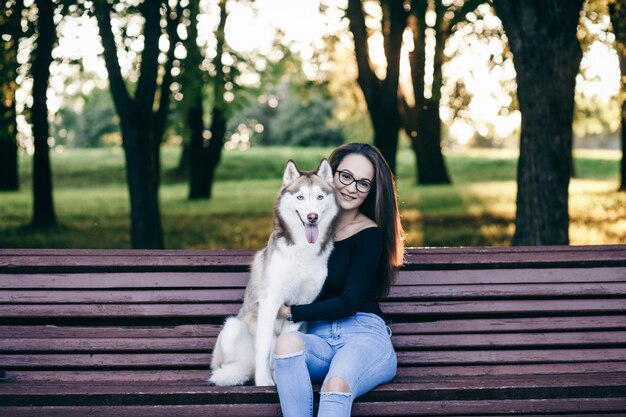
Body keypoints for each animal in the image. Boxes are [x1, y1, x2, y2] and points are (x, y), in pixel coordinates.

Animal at [208, 158, 336, 386]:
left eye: (320, 197)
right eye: (300, 197)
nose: (312, 217)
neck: (303, 251)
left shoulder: (302, 306)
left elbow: (281, 345)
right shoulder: (270, 302)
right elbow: (265, 346)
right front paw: (264, 381)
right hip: (233, 327)